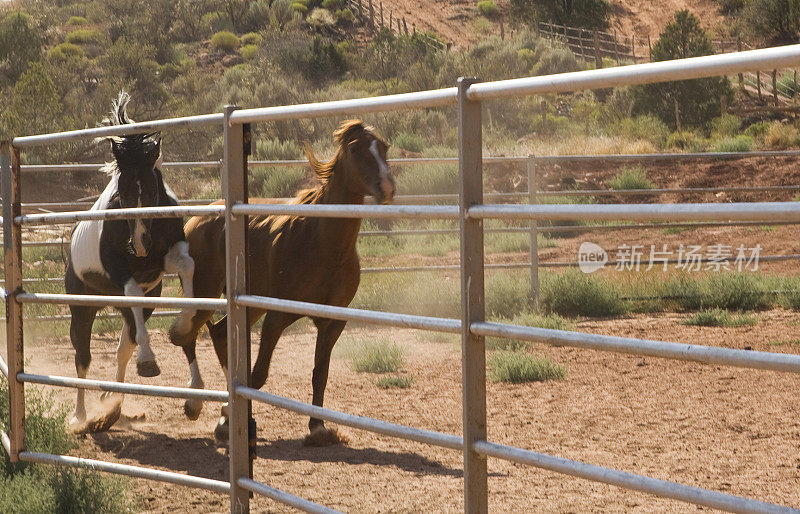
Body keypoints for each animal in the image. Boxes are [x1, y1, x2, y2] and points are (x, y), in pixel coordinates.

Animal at [65, 93, 195, 428]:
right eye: (121, 192)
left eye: (150, 188)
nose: (138, 244)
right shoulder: (120, 271)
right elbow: (133, 290)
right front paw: (148, 363)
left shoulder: (162, 261)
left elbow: (187, 266)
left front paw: (185, 325)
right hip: (82, 308)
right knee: (82, 357)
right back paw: (80, 415)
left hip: (142, 303)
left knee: (125, 346)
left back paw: (112, 401)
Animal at [169, 118, 394, 442]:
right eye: (355, 149)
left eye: (384, 147)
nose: (386, 187)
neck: (322, 241)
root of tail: (194, 222)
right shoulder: (276, 317)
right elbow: (258, 374)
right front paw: (226, 419)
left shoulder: (332, 323)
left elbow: (319, 373)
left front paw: (317, 427)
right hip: (204, 293)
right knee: (185, 335)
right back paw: (195, 403)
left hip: (246, 306)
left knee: (218, 333)